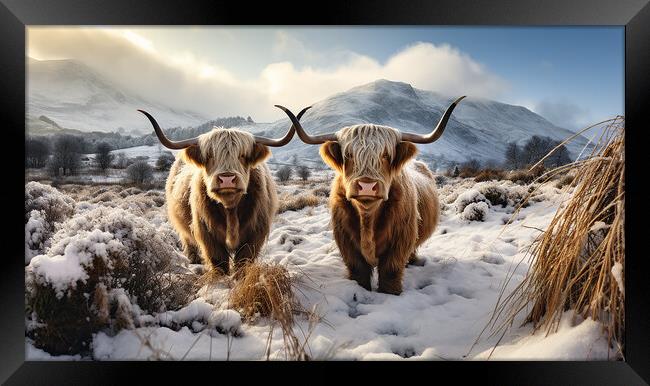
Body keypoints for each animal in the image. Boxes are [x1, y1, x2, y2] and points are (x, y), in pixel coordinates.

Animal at [137, 105, 308, 274]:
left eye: (242, 155)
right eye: (210, 156)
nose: (227, 179)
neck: (230, 209)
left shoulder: (254, 235)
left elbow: (243, 261)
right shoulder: (207, 234)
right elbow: (218, 262)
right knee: (188, 241)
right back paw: (194, 260)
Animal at [280, 98, 464, 294]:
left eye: (386, 155)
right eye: (348, 154)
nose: (366, 186)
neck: (367, 217)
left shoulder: (400, 239)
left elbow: (391, 270)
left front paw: (390, 293)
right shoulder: (346, 241)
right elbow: (358, 270)